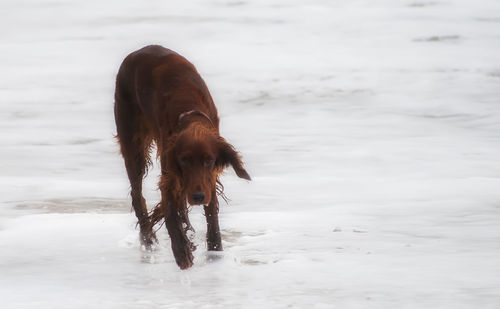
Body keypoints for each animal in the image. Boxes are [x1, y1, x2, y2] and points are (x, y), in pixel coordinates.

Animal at [115, 45, 252, 268]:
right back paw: (148, 239)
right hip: (133, 145)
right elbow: (171, 212)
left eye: (208, 160)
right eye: (184, 161)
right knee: (137, 195)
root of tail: (137, 52)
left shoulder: (209, 178)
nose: (197, 197)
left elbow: (211, 215)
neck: (191, 113)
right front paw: (181, 251)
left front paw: (215, 252)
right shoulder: (170, 173)